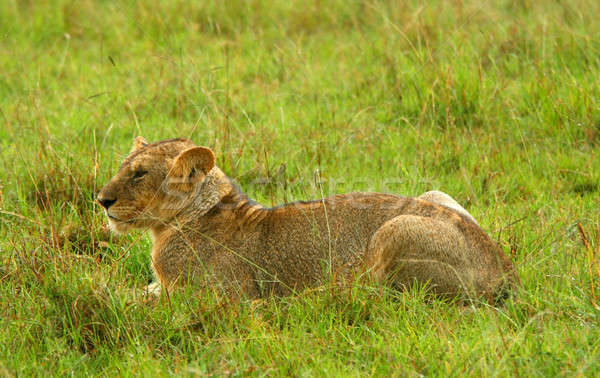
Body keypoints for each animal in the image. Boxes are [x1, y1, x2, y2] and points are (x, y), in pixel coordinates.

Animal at [96, 137, 516, 302]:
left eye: (139, 173)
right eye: (124, 166)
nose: (101, 200)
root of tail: (505, 270)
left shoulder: (220, 296)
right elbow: (134, 292)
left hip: (395, 230)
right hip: (435, 194)